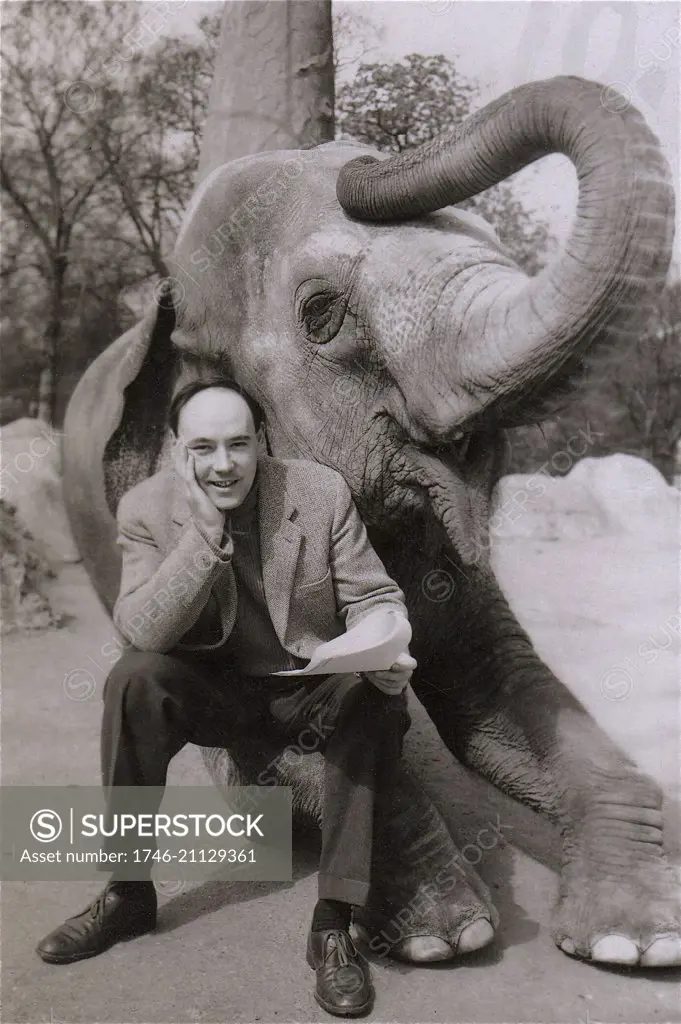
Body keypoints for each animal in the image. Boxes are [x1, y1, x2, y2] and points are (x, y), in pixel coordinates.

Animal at [61, 77, 675, 966]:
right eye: (322, 313)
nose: (359, 155)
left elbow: (497, 693)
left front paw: (636, 940)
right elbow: (278, 746)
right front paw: (445, 934)